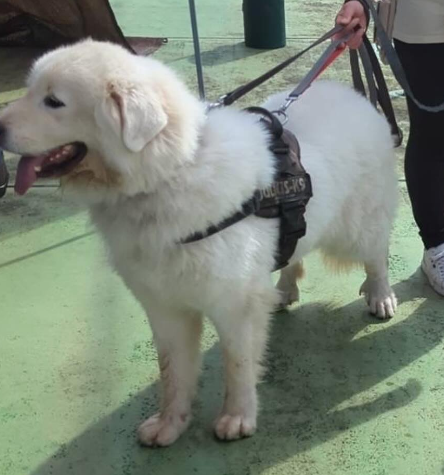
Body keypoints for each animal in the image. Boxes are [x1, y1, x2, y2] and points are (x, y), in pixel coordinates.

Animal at [0, 39, 398, 446]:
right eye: (31, 91)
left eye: (53, 101)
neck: (170, 173)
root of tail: (353, 95)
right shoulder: (164, 307)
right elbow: (173, 372)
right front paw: (170, 424)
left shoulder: (235, 305)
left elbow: (237, 365)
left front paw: (237, 418)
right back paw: (284, 291)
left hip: (356, 230)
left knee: (377, 256)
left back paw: (380, 296)